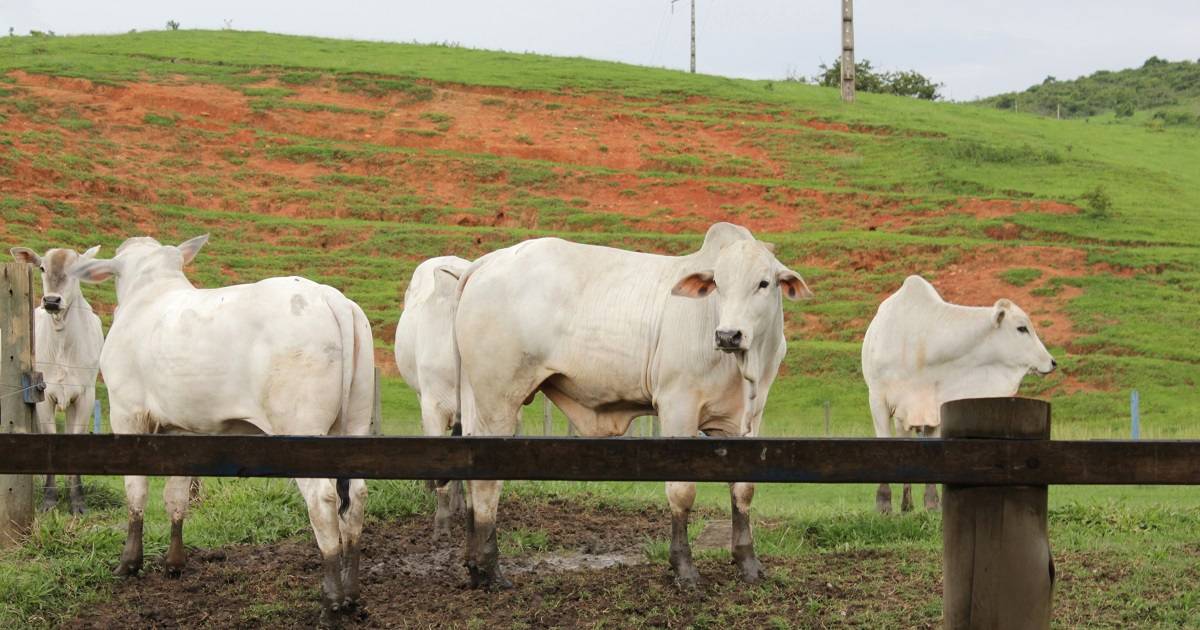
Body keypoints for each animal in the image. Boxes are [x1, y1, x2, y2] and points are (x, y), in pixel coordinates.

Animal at [10, 243, 104, 513]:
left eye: (77, 269)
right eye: (42, 268)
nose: (51, 301)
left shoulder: (85, 396)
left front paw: (78, 502)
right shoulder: (44, 395)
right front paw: (49, 500)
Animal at [71, 235, 369, 624]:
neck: (148, 294)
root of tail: (327, 296)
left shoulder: (127, 413)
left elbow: (136, 491)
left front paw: (129, 563)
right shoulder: (180, 430)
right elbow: (176, 496)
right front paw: (174, 563)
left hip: (303, 430)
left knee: (324, 501)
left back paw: (331, 602)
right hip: (357, 424)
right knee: (357, 498)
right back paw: (351, 596)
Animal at [451, 222, 816, 590]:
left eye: (763, 283)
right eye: (718, 284)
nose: (728, 335)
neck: (744, 367)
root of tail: (486, 262)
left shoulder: (746, 418)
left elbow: (743, 488)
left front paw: (748, 564)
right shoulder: (677, 405)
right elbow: (682, 491)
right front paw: (684, 568)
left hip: (477, 400)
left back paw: (474, 566)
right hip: (497, 399)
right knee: (486, 481)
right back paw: (491, 569)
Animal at [868, 274, 1056, 511]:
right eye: (1021, 328)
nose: (1052, 362)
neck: (920, 343)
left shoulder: (935, 406)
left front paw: (932, 503)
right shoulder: (877, 399)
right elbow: (883, 441)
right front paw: (883, 502)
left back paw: (908, 504)